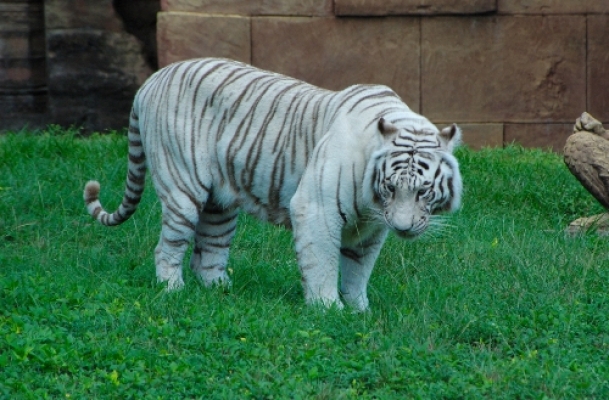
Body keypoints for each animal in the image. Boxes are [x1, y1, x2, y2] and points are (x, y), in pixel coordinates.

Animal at [83, 57, 464, 310]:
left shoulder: (371, 228)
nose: (402, 227)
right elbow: (323, 263)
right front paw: (329, 309)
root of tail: (152, 79)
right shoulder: (316, 209)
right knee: (168, 247)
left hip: (220, 204)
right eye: (391, 187)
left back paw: (222, 289)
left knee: (208, 252)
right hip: (182, 190)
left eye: (423, 191)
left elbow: (358, 268)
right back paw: (173, 290)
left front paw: (359, 310)